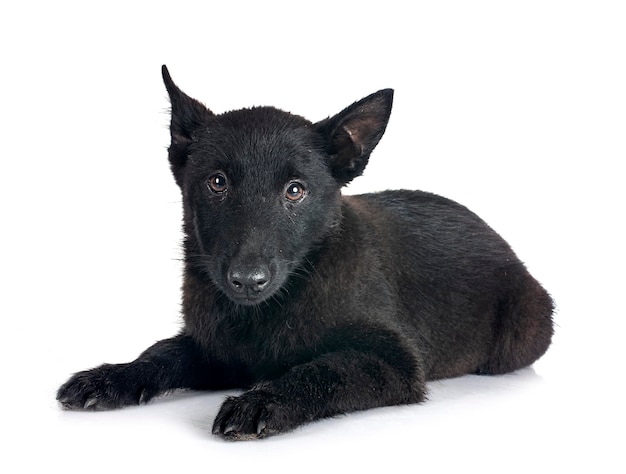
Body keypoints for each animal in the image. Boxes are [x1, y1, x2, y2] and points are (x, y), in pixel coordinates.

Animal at [57, 65, 552, 438]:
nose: (247, 280)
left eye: (295, 190)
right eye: (217, 182)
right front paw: (112, 376)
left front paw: (263, 401)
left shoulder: (393, 360)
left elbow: (323, 371)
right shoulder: (215, 349)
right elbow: (162, 352)